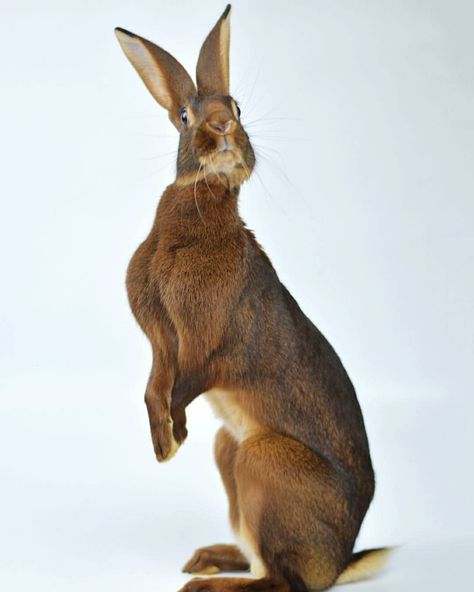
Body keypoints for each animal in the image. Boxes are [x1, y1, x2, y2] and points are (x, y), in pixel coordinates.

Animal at [115, 4, 388, 592]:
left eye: (237, 106)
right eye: (186, 116)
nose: (223, 127)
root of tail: (340, 561)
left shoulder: (210, 340)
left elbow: (188, 381)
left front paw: (174, 435)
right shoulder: (161, 338)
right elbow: (153, 386)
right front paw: (164, 446)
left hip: (263, 462)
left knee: (283, 580)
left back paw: (206, 581)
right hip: (231, 453)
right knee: (263, 560)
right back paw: (206, 559)